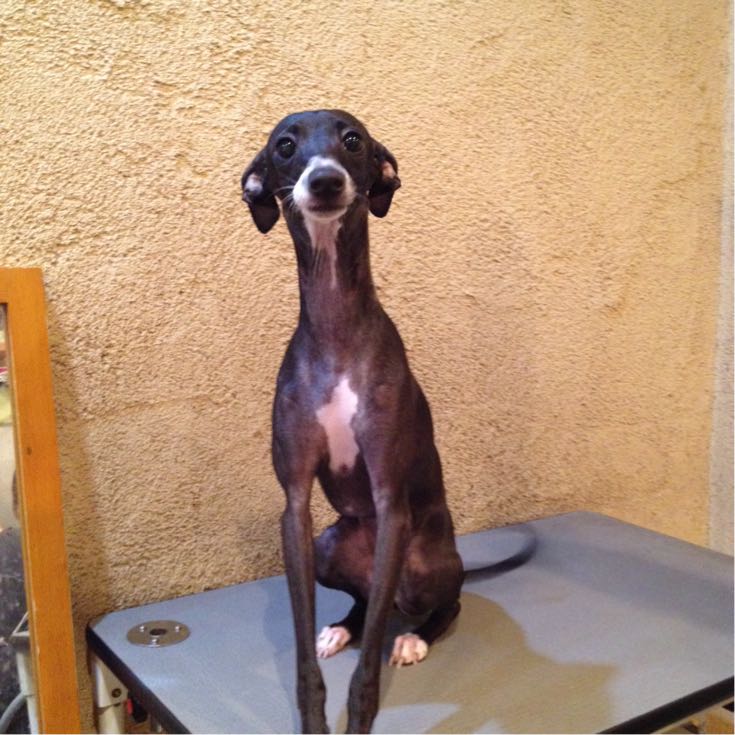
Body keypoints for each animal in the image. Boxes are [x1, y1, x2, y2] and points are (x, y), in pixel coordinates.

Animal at [242, 110, 464, 734]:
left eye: (353, 141)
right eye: (284, 146)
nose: (324, 181)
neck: (337, 323)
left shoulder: (390, 501)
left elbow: (367, 678)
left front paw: (359, 715)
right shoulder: (295, 508)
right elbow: (302, 659)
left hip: (423, 564)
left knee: (441, 603)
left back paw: (414, 637)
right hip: (330, 544)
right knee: (368, 603)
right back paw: (344, 626)